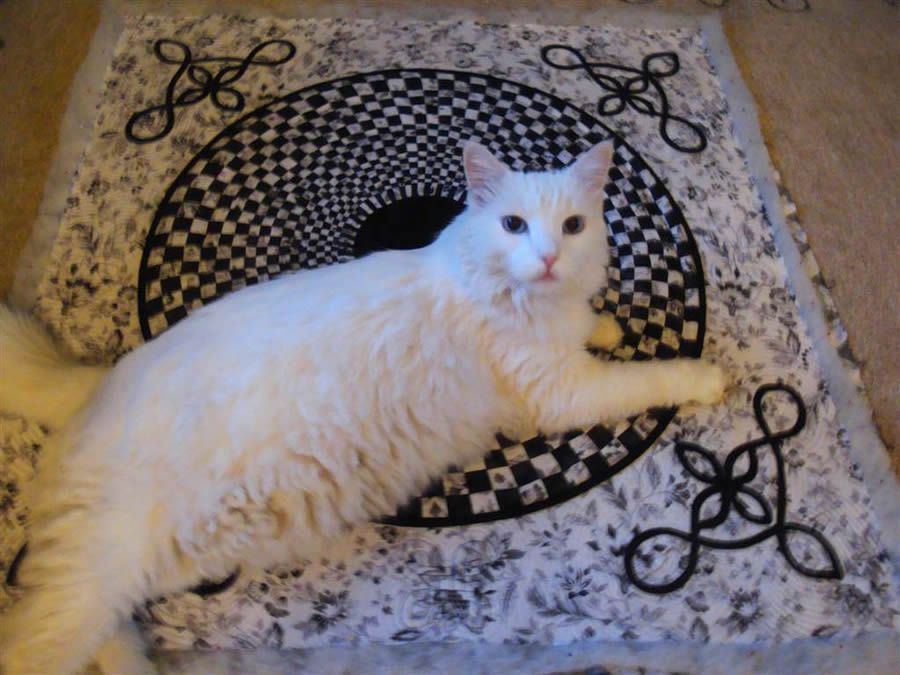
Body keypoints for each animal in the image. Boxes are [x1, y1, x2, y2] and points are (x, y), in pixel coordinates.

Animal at [0, 140, 724, 672]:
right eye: (513, 225)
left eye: (573, 227)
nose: (547, 258)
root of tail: (100, 381)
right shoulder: (562, 391)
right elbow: (648, 378)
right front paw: (707, 375)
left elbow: (594, 326)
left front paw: (605, 324)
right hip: (96, 577)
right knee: (33, 640)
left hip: (135, 572)